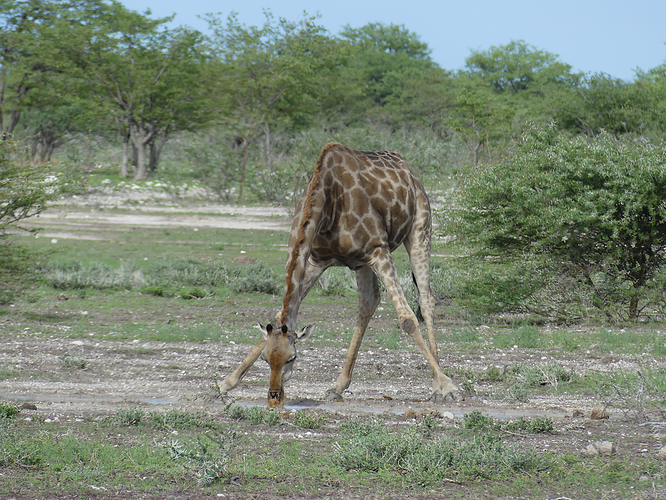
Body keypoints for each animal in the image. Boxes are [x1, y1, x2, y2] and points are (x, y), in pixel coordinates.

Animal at [218, 142, 456, 406]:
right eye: (266, 358)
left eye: (292, 357)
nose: (274, 397)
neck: (329, 205)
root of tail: (409, 170)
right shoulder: (317, 260)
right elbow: (280, 314)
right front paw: (226, 383)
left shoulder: (379, 250)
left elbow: (407, 319)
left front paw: (447, 385)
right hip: (362, 262)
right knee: (369, 302)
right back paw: (338, 386)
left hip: (420, 230)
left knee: (425, 299)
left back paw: (437, 385)